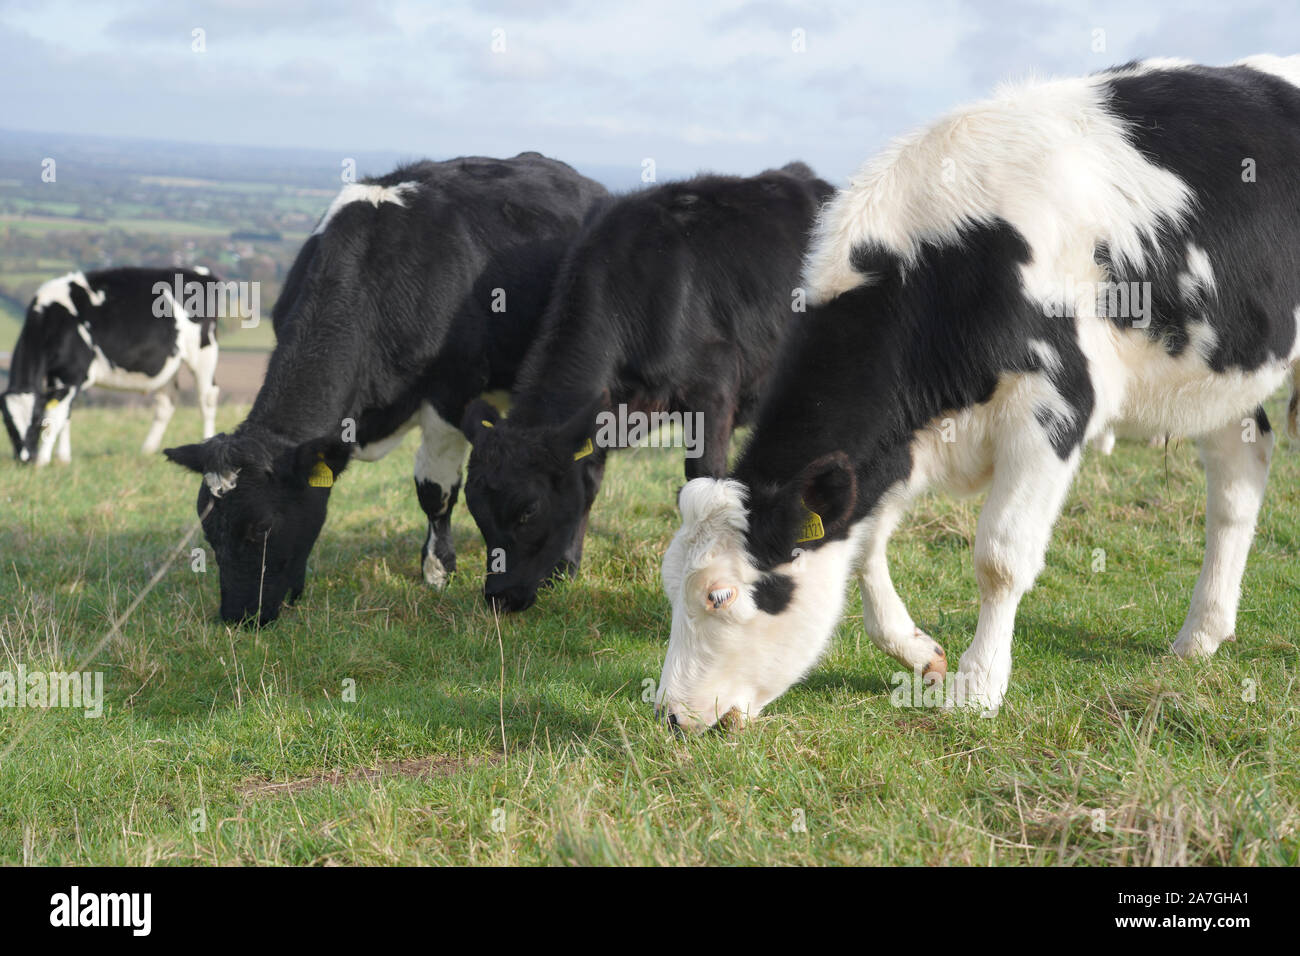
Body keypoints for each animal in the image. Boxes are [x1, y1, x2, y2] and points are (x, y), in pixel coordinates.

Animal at [2, 267, 220, 465]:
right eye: (8, 425)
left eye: (36, 421)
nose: (25, 458)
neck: (55, 320)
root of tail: (201, 273)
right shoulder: (58, 376)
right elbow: (66, 416)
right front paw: (63, 458)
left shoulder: (71, 375)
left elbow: (56, 416)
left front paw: (44, 461)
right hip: (168, 366)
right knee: (167, 403)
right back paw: (148, 450)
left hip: (204, 353)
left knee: (207, 399)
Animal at [164, 153, 607, 625]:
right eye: (209, 529)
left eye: (262, 527)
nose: (238, 617)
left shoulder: (450, 395)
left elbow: (435, 491)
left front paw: (437, 571)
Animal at [459, 162, 835, 612]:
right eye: (475, 509)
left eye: (528, 510)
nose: (498, 597)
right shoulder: (601, 414)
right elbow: (587, 483)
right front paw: (567, 568)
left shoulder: (711, 392)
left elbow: (703, 477)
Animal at [656, 57, 1300, 731]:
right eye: (670, 585)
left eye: (718, 594)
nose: (670, 714)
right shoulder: (896, 448)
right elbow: (864, 546)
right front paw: (917, 652)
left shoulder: (1053, 407)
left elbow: (1000, 557)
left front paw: (980, 685)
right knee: (1240, 473)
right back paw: (1202, 633)